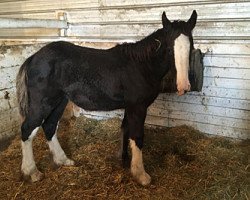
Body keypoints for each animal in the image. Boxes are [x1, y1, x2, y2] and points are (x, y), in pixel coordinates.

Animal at [16, 10, 198, 186]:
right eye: (169, 49)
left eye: (191, 46)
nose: (183, 86)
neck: (141, 66)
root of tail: (33, 58)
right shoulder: (138, 107)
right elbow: (137, 136)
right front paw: (141, 175)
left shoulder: (130, 107)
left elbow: (125, 129)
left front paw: (123, 160)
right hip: (42, 103)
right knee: (27, 129)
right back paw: (31, 172)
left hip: (59, 101)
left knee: (50, 126)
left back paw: (63, 160)